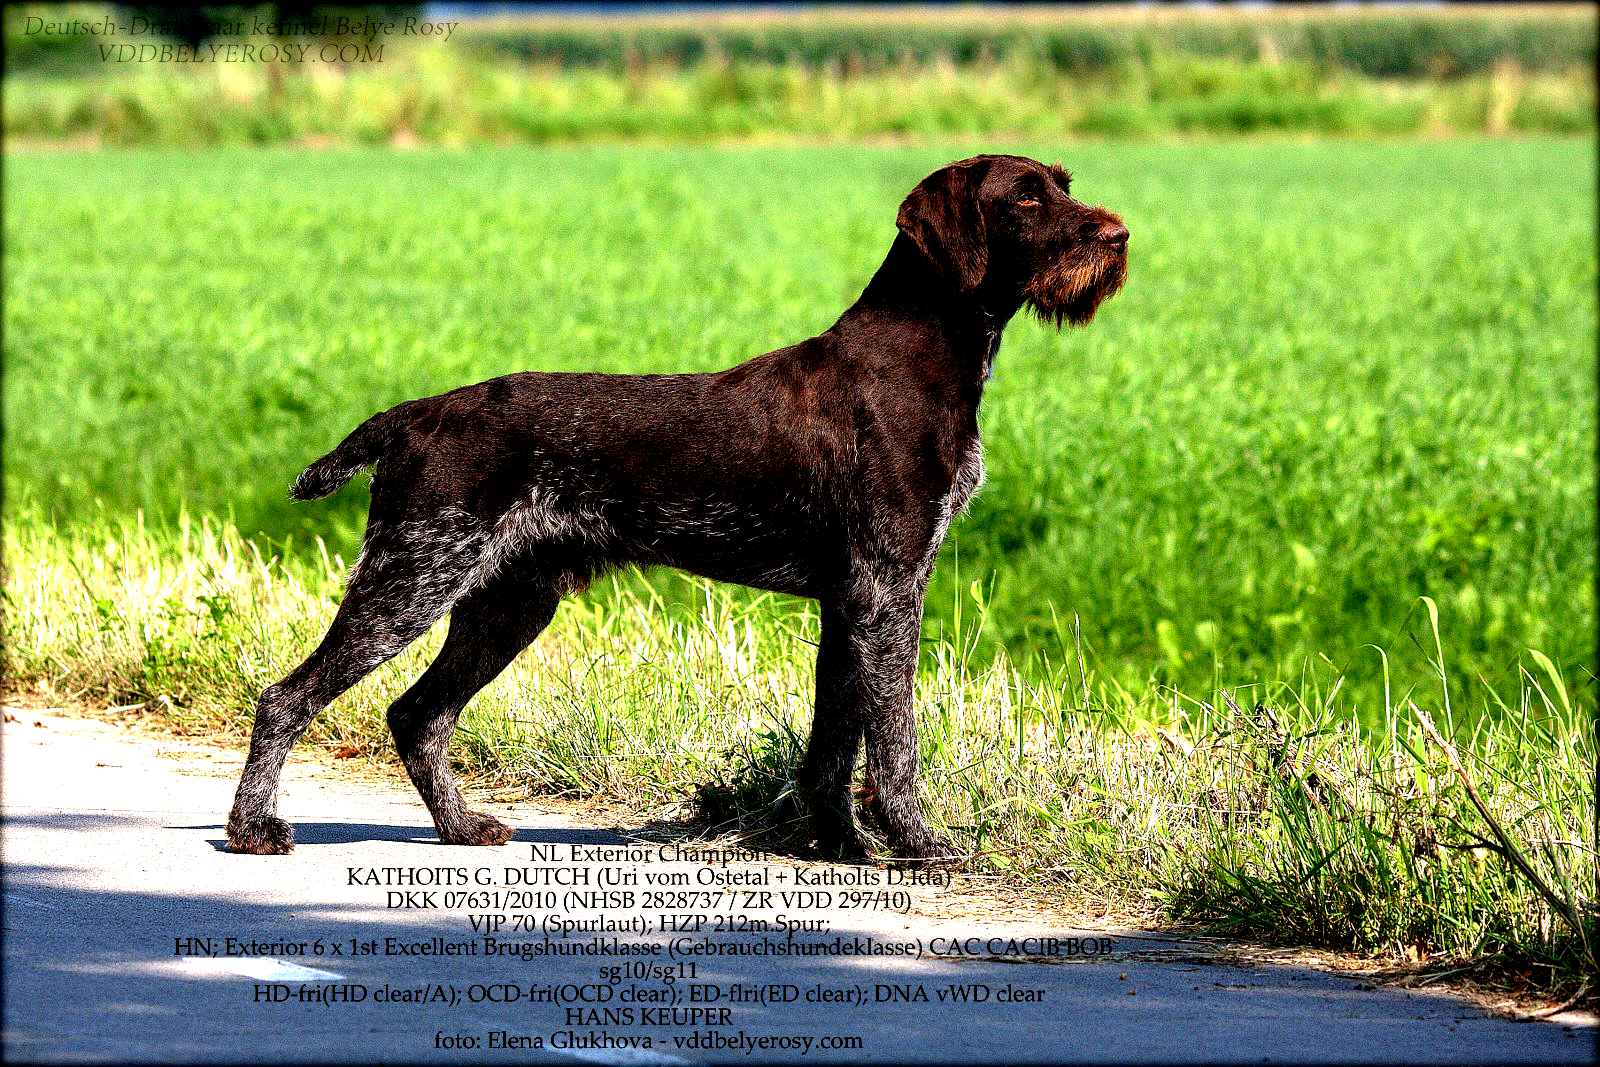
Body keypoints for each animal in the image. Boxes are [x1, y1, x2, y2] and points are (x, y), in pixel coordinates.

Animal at [225, 154, 1132, 863]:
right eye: (1025, 198)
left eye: (1065, 183)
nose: (1118, 235)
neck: (928, 350)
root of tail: (418, 412)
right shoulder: (886, 591)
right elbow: (893, 739)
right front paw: (918, 842)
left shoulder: (853, 600)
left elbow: (834, 740)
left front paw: (840, 844)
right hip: (412, 578)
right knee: (289, 696)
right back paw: (255, 828)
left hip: (507, 599)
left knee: (417, 714)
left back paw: (458, 825)